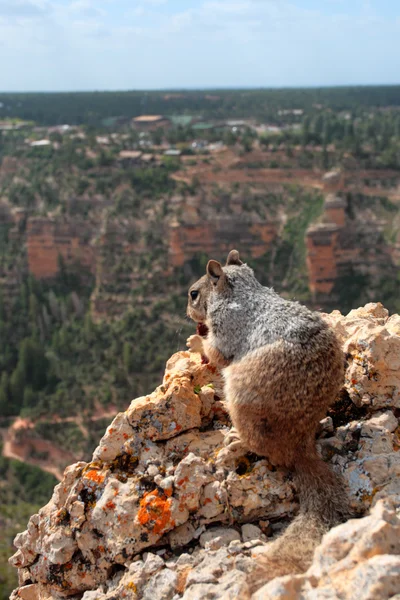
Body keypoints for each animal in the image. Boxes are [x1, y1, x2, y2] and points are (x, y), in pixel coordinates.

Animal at [186, 247, 348, 584]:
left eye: (194, 294)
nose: (187, 310)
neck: (240, 291)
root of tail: (299, 446)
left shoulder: (226, 327)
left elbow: (215, 351)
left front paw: (195, 341)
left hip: (241, 397)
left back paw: (236, 442)